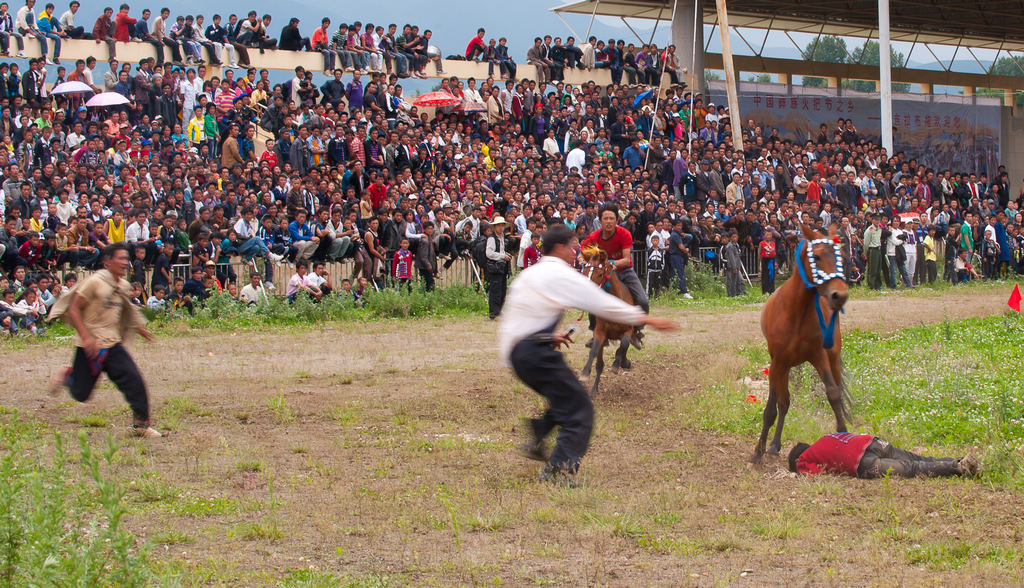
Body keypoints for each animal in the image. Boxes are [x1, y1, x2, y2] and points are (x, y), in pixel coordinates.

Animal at [585, 246, 630, 393]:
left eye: (600, 274)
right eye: (584, 272)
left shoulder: (629, 330)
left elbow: (624, 344)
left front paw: (618, 364)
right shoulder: (600, 332)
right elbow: (594, 353)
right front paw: (585, 374)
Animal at [749, 225, 851, 465]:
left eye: (840, 256)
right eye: (817, 257)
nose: (839, 295)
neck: (795, 311)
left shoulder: (819, 356)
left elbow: (834, 394)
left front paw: (842, 434)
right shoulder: (778, 363)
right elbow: (772, 408)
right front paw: (759, 450)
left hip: (832, 357)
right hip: (782, 367)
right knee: (782, 402)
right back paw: (773, 445)